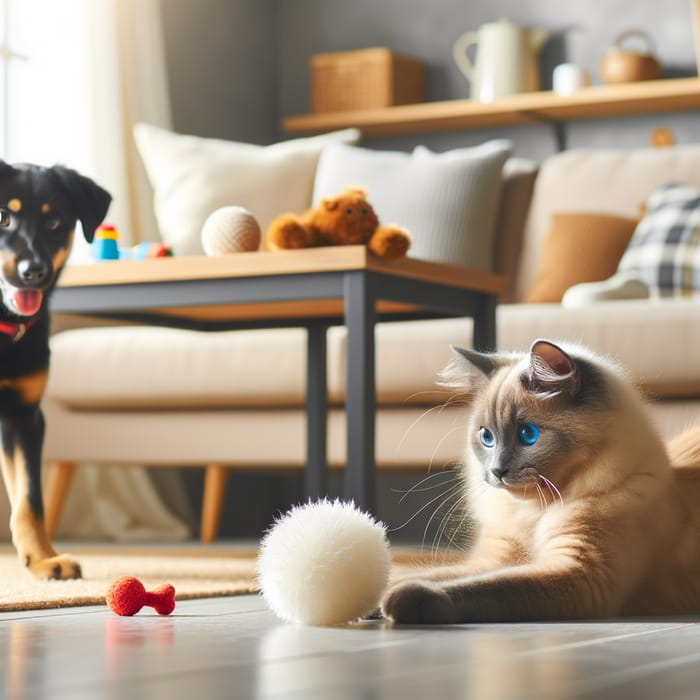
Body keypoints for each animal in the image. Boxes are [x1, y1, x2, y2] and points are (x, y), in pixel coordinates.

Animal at [0, 163, 110, 580]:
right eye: (3, 216)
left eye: (54, 222)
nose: (34, 272)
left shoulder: (24, 417)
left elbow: (30, 499)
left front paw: (43, 558)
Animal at [380, 340, 700, 624]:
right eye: (486, 437)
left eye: (528, 434)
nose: (496, 471)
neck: (534, 512)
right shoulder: (495, 560)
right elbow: (431, 573)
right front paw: (380, 593)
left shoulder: (578, 571)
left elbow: (489, 587)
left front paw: (400, 599)